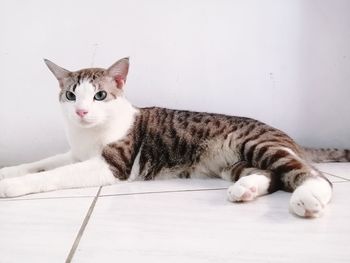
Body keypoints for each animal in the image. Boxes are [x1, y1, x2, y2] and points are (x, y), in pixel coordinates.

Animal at [0, 58, 348, 219]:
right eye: (71, 95)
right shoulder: (75, 153)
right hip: (233, 163)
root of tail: (287, 136)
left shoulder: (112, 165)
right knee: (270, 175)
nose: (81, 112)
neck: (90, 132)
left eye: (100, 95)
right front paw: (9, 171)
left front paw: (12, 186)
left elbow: (56, 174)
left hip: (256, 143)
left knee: (312, 174)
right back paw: (245, 189)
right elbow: (43, 163)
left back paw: (308, 197)